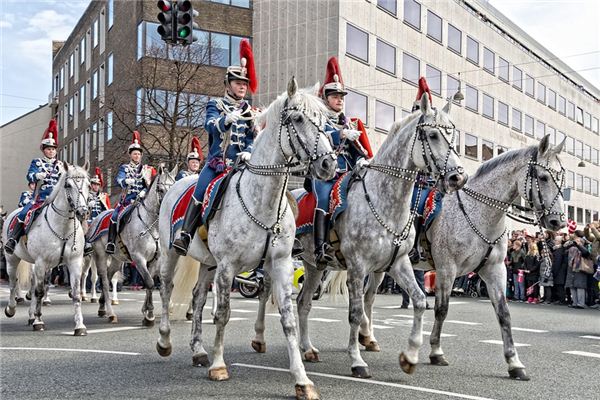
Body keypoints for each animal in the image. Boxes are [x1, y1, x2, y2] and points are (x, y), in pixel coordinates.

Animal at [2, 162, 90, 334]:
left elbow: (75, 293)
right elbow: (40, 291)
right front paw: (38, 321)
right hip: (12, 259)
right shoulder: (41, 262)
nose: (83, 212)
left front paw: (79, 326)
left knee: (32, 284)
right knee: (13, 283)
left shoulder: (74, 262)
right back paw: (11, 309)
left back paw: (30, 315)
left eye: (88, 185)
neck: (63, 228)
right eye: (68, 185)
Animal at [86, 164, 176, 324]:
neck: (151, 225)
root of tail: (97, 219)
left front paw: (147, 311)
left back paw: (102, 306)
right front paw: (149, 315)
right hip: (100, 256)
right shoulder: (138, 258)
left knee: (109, 276)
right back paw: (110, 312)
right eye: (160, 189)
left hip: (117, 259)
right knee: (103, 281)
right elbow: (149, 282)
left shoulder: (155, 260)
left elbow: (150, 282)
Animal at [157, 79, 338, 400]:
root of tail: (179, 182)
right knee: (166, 288)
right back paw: (165, 341)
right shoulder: (228, 266)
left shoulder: (280, 264)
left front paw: (302, 380)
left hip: (208, 264)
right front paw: (218, 366)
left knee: (198, 297)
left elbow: (289, 320)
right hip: (172, 253)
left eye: (324, 121)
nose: (330, 165)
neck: (262, 201)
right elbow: (223, 314)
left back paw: (198, 350)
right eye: (298, 119)